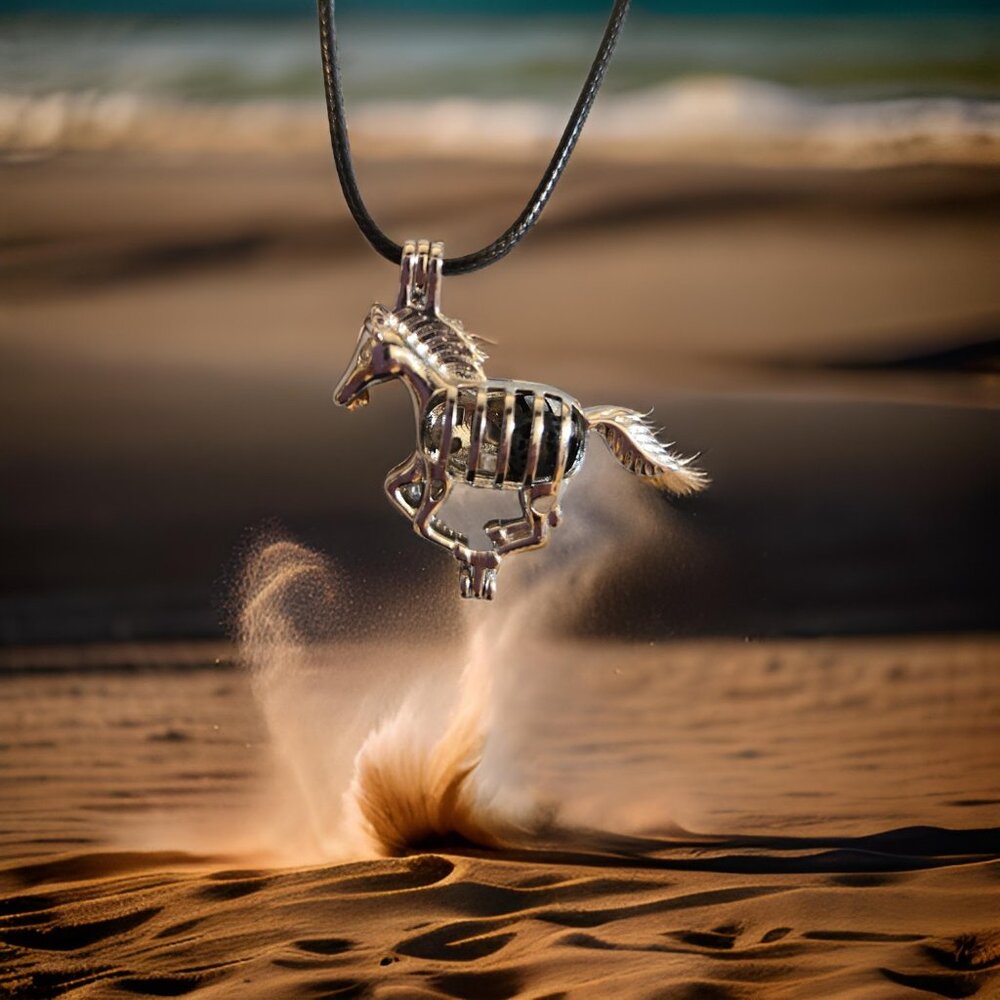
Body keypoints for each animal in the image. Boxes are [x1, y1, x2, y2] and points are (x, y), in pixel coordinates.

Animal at [334, 241, 708, 600]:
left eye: (366, 352)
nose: (342, 396)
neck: (435, 391)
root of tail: (587, 418)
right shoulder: (425, 463)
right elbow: (394, 488)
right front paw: (455, 537)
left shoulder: (441, 474)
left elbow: (421, 522)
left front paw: (462, 546)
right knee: (544, 524)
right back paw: (499, 530)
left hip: (540, 486)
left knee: (541, 533)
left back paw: (497, 540)